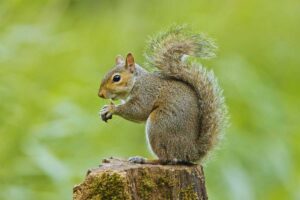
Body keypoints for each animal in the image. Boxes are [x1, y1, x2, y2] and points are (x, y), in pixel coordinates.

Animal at [98, 25, 227, 164]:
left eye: (116, 78)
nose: (100, 94)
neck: (137, 81)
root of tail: (189, 152)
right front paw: (104, 109)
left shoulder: (146, 93)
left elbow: (138, 111)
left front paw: (112, 108)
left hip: (159, 124)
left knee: (166, 159)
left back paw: (144, 160)